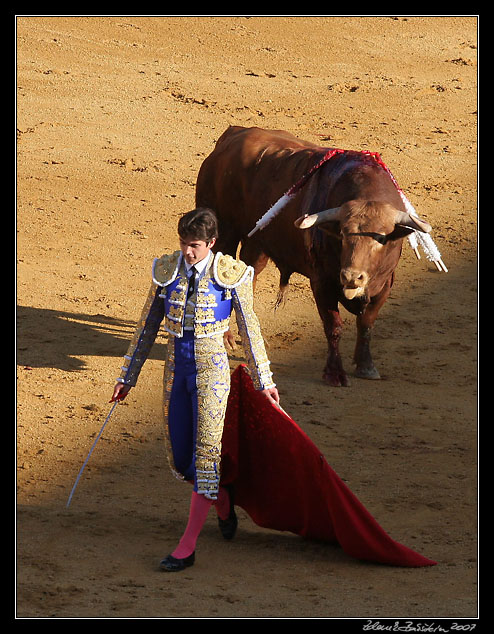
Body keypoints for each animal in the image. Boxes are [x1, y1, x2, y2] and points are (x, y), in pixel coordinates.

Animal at [196, 124, 432, 386]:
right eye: (342, 234)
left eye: (381, 238)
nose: (351, 277)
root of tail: (231, 136)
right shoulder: (322, 282)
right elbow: (333, 326)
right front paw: (334, 373)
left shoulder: (385, 284)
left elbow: (366, 323)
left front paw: (366, 366)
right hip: (224, 234)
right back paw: (225, 337)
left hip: (257, 245)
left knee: (249, 277)